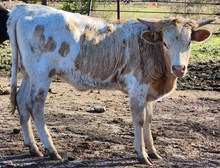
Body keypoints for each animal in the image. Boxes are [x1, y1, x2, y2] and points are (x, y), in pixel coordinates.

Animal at [4, 4, 215, 166]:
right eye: (165, 43)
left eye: (189, 43)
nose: (179, 68)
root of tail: (25, 8)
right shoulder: (137, 89)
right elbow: (139, 120)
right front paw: (142, 155)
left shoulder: (149, 90)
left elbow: (149, 119)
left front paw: (153, 151)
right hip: (42, 74)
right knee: (35, 106)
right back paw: (51, 150)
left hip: (29, 72)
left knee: (22, 101)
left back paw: (33, 148)